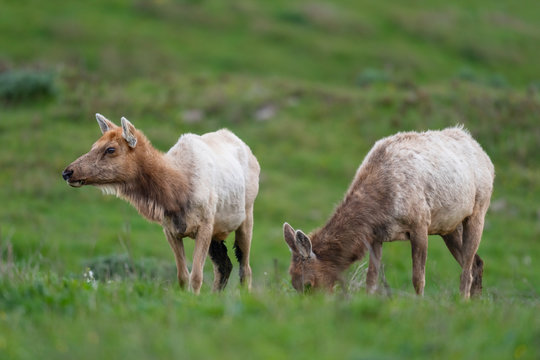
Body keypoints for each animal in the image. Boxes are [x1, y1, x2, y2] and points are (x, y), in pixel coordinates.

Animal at [62, 114, 260, 294]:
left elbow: (196, 277)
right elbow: (182, 277)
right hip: (217, 232)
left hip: (247, 215)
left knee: (246, 268)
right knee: (225, 266)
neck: (175, 195)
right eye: (93, 146)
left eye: (110, 149)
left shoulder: (205, 224)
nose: (67, 172)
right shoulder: (170, 230)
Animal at [284, 126, 496, 298]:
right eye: (293, 284)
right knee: (477, 263)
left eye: (308, 284)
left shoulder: (420, 223)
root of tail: (486, 158)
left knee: (467, 269)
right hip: (449, 226)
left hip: (479, 209)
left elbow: (418, 278)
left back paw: (465, 301)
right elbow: (371, 278)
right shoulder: (375, 236)